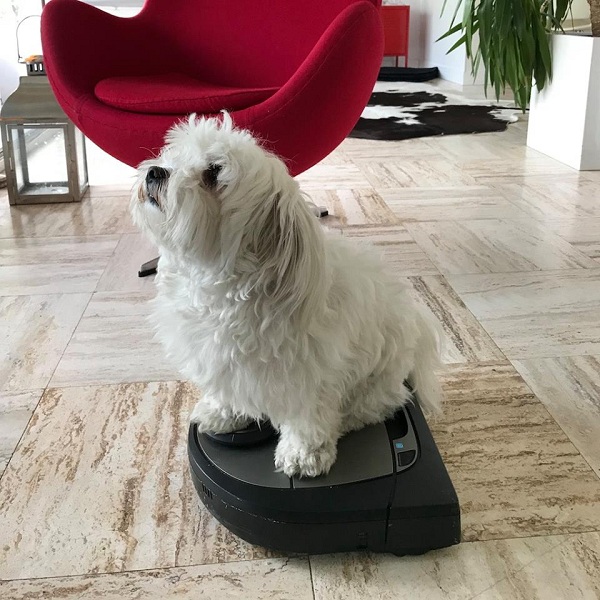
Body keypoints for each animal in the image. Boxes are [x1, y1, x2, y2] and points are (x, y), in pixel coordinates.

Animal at [131, 114, 442, 478]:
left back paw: (346, 420)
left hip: (376, 378)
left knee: (379, 404)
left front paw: (304, 454)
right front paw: (223, 413)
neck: (216, 285)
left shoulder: (310, 373)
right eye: (174, 154)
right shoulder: (223, 359)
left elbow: (308, 418)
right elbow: (228, 389)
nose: (156, 171)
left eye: (213, 174)